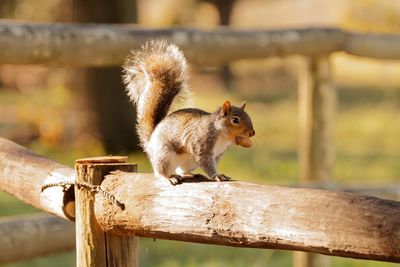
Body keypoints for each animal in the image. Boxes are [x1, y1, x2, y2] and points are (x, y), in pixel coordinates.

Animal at [122, 40, 255, 186]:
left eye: (249, 117)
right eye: (235, 120)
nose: (252, 133)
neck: (222, 136)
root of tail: (151, 141)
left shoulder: (217, 154)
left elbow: (212, 163)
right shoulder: (200, 145)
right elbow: (207, 163)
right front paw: (216, 175)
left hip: (189, 162)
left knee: (182, 170)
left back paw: (191, 174)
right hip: (164, 155)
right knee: (162, 173)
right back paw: (170, 177)